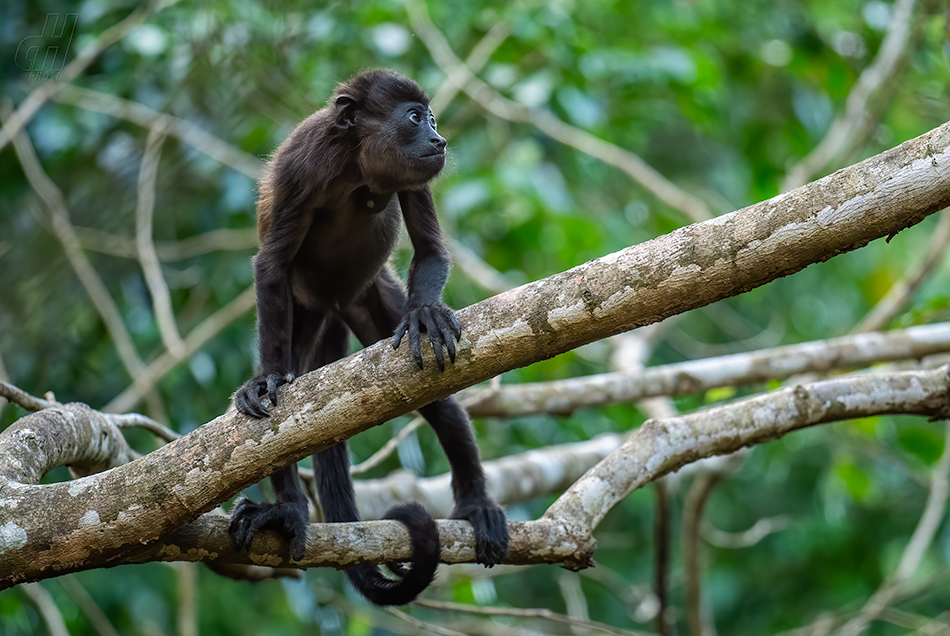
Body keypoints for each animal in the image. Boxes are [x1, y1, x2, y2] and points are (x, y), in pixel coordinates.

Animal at [231, 69, 510, 608]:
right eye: (415, 117)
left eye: (432, 118)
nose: (439, 139)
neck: (355, 165)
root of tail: (335, 305)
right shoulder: (302, 168)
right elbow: (270, 266)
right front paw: (267, 377)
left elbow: (431, 250)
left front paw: (425, 312)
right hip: (307, 312)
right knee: (278, 430)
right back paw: (287, 510)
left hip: (373, 296)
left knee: (440, 401)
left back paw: (476, 505)